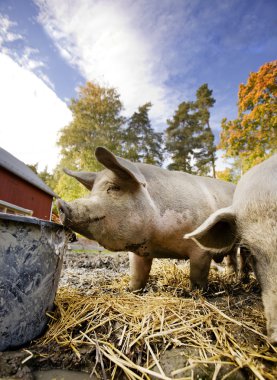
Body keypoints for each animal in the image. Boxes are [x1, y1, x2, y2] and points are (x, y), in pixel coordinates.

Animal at [57, 145, 234, 290]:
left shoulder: (201, 250)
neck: (160, 242)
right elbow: (137, 274)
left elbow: (198, 275)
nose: (61, 204)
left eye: (114, 188)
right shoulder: (139, 252)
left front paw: (195, 293)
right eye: (92, 192)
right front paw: (131, 290)